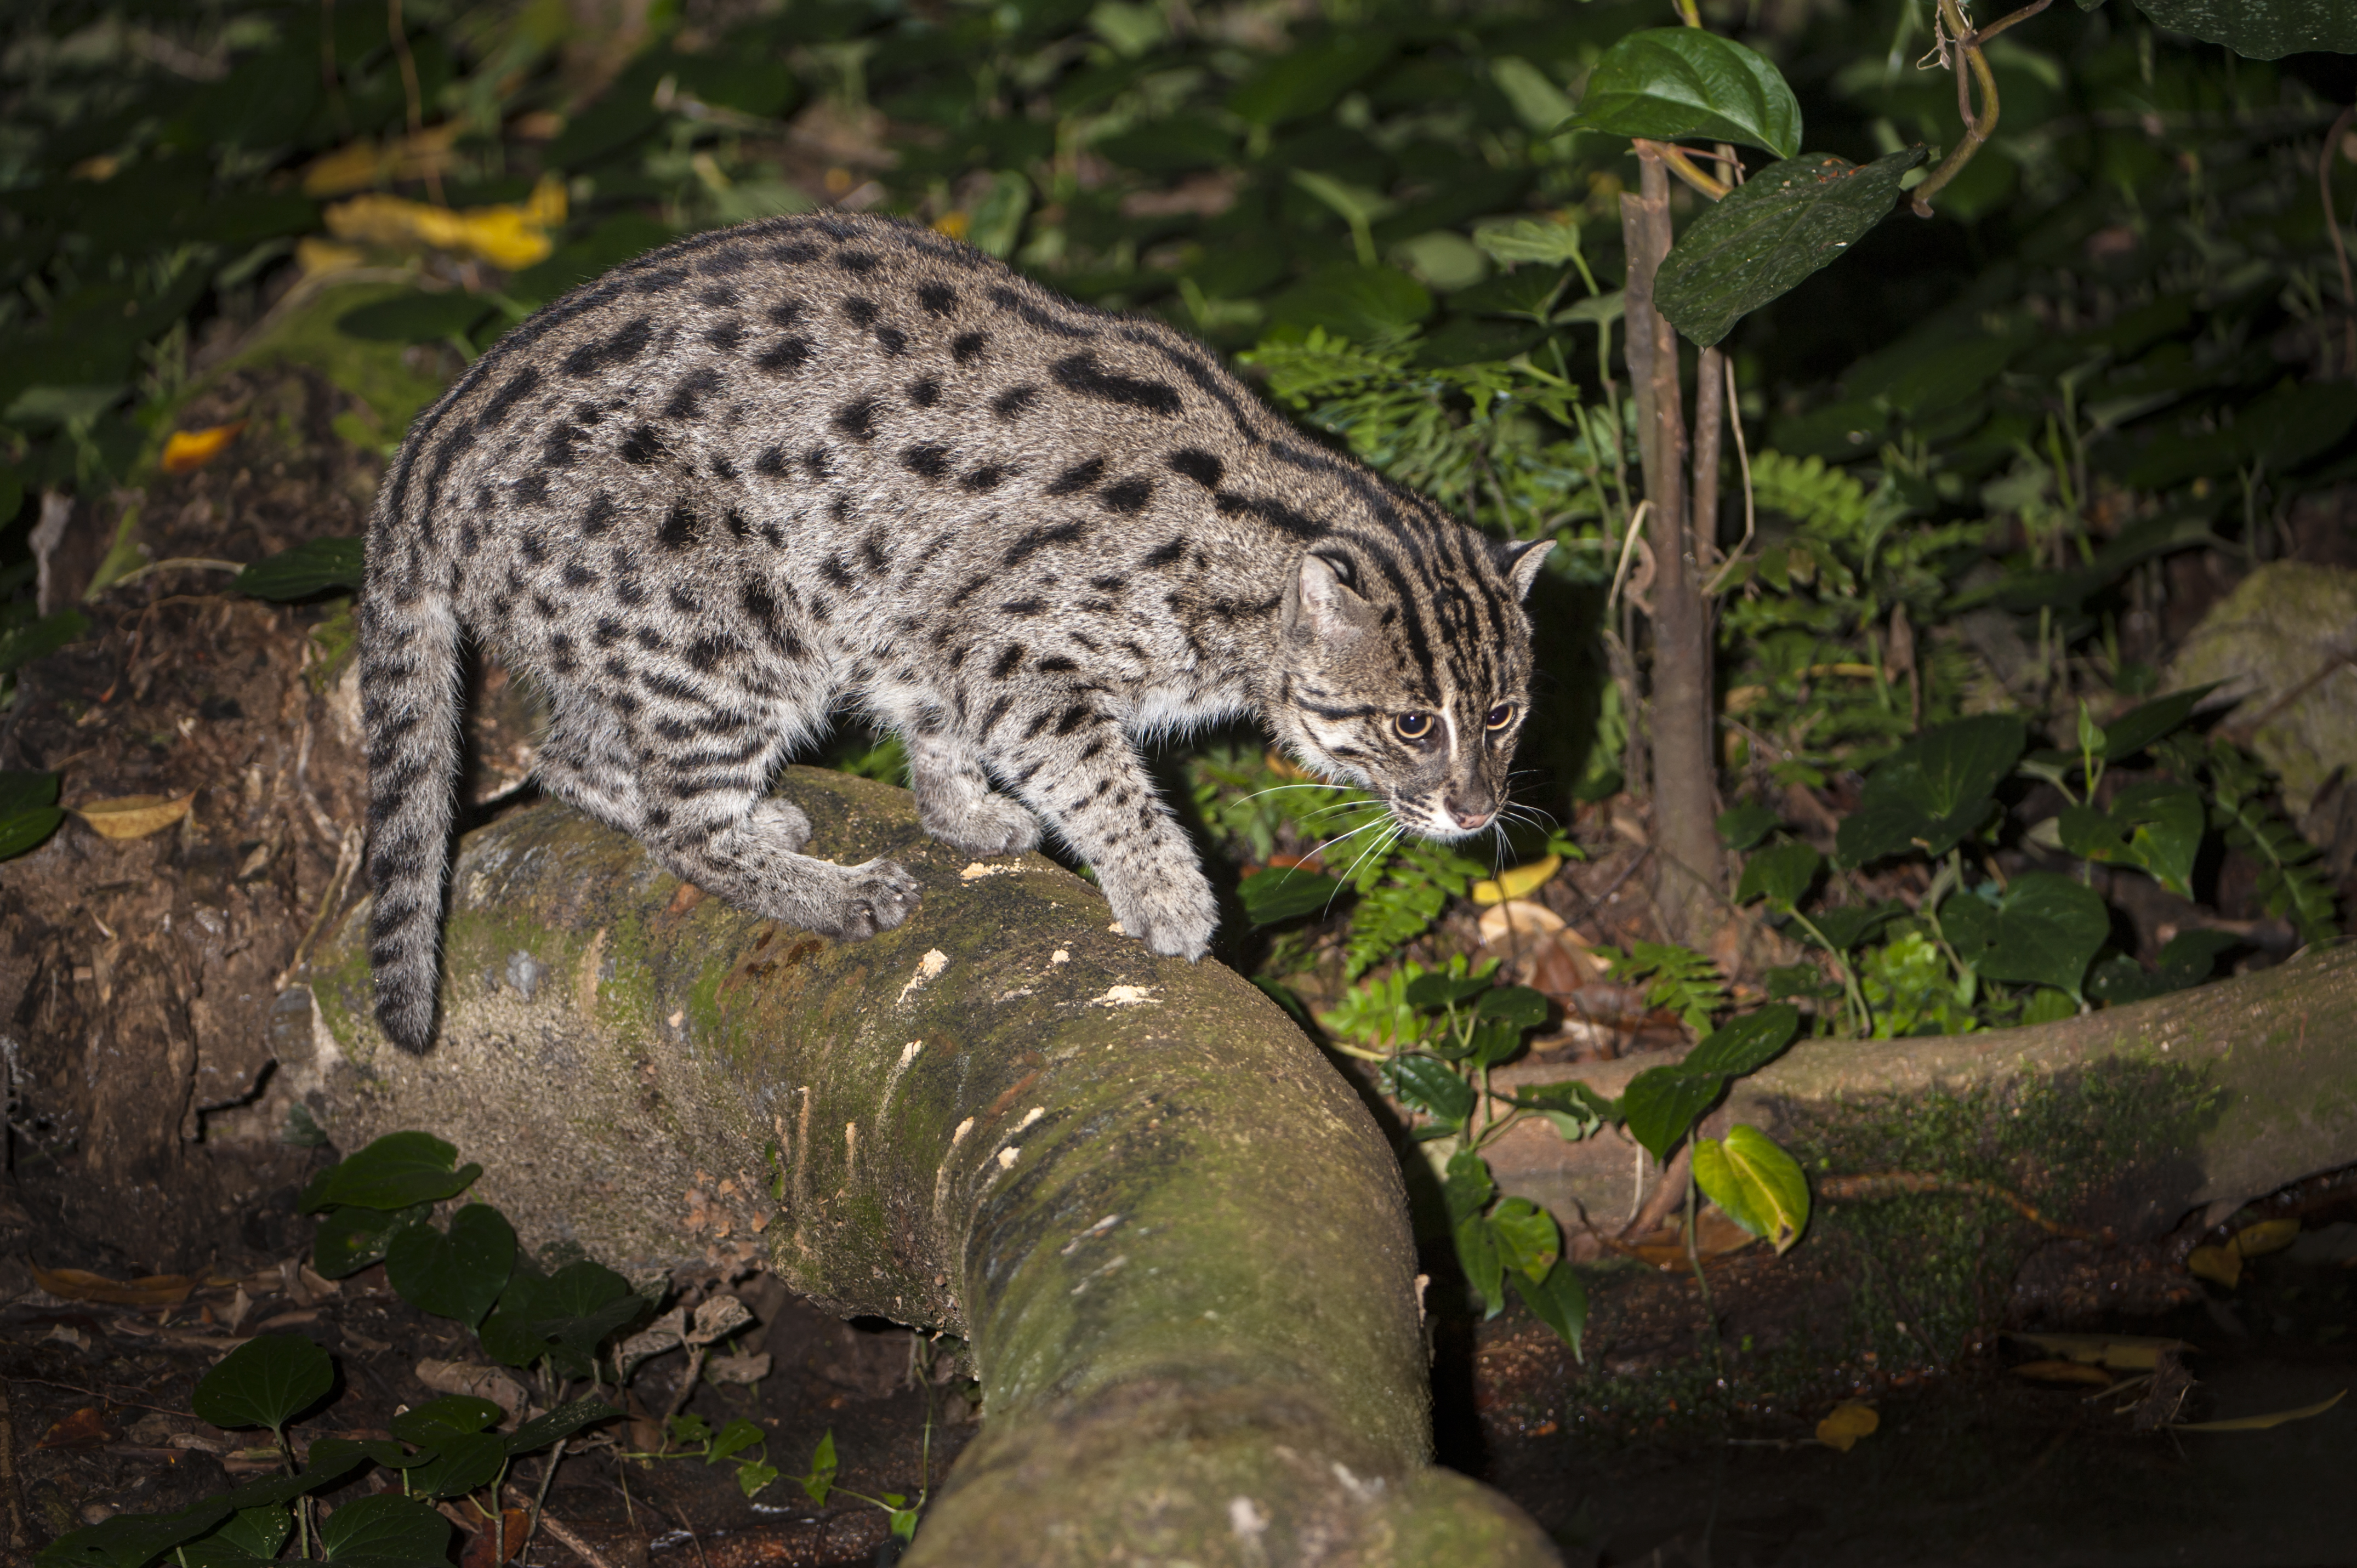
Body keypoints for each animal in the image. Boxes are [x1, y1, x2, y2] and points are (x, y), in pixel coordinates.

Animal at [358, 207, 1546, 1051]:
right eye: (1410, 724)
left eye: (1501, 714)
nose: (1479, 810)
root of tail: (424, 452)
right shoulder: (1012, 646)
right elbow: (1100, 779)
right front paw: (1165, 893)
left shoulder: (918, 612)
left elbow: (936, 728)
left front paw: (963, 809)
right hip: (722, 628)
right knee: (676, 824)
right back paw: (821, 888)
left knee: (564, 756)